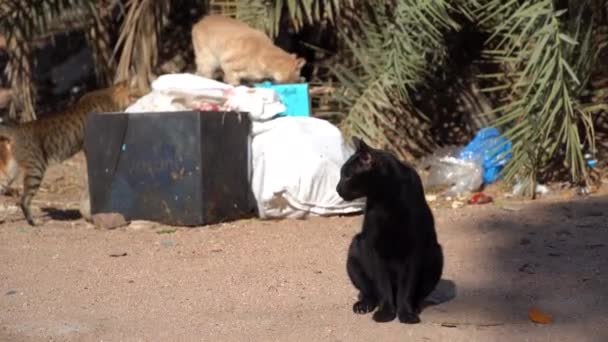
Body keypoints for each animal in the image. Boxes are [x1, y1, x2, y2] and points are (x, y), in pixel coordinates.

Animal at [0, 81, 141, 226]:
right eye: (136, 95)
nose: (141, 99)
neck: (109, 97)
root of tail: (16, 129)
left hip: (11, 173)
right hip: (36, 170)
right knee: (24, 200)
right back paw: (33, 222)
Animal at [338, 137, 442, 324]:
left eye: (347, 176)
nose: (337, 188)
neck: (386, 201)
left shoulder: (413, 251)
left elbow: (407, 288)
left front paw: (406, 314)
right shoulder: (375, 248)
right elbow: (382, 284)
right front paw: (385, 313)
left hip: (436, 254)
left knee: (416, 294)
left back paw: (414, 307)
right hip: (355, 250)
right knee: (369, 292)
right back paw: (363, 305)